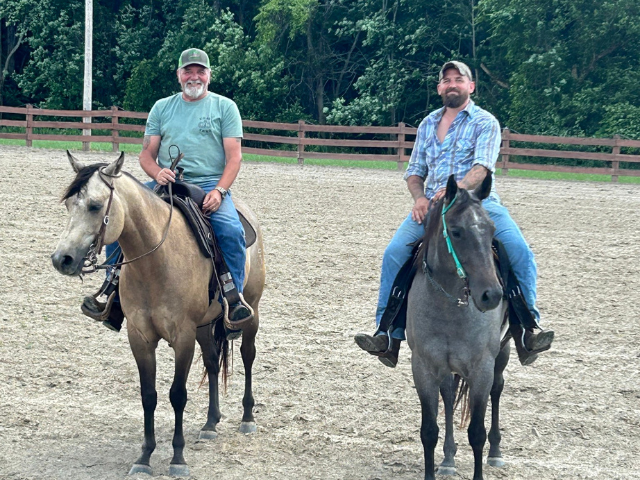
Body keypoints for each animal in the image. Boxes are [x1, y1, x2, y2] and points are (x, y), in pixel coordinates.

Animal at [51, 153, 266, 476]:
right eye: (68, 205)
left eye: (95, 205)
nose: (61, 259)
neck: (155, 262)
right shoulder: (140, 336)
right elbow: (148, 395)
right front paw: (144, 456)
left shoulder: (183, 337)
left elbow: (177, 394)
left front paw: (178, 458)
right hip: (204, 325)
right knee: (212, 362)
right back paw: (210, 423)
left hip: (251, 312)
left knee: (248, 355)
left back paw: (247, 418)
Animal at [410, 174, 510, 480]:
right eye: (455, 232)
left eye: (491, 230)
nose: (492, 295)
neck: (449, 306)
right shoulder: (424, 367)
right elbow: (429, 431)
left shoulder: (481, 369)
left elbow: (476, 433)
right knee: (450, 394)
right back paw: (448, 458)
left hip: (503, 352)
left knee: (497, 389)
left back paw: (496, 452)